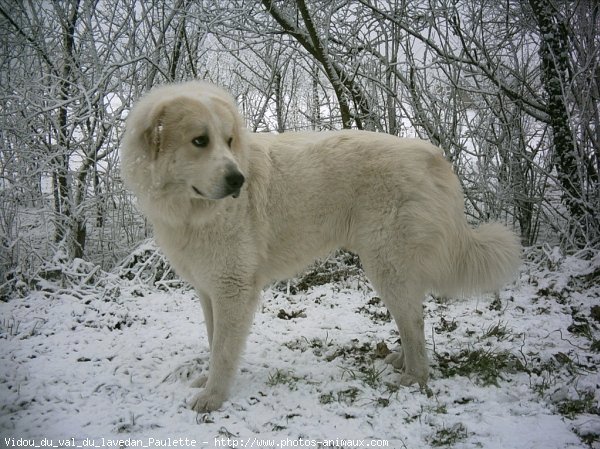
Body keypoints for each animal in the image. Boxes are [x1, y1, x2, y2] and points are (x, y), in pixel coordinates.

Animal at [122, 79, 520, 410]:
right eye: (200, 141)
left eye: (229, 140)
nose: (238, 179)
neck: (192, 211)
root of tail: (432, 155)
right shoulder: (209, 289)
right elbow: (213, 338)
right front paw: (208, 382)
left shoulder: (232, 288)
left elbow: (222, 348)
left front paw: (213, 398)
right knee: (412, 317)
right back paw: (402, 360)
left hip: (386, 264)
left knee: (415, 320)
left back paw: (414, 377)